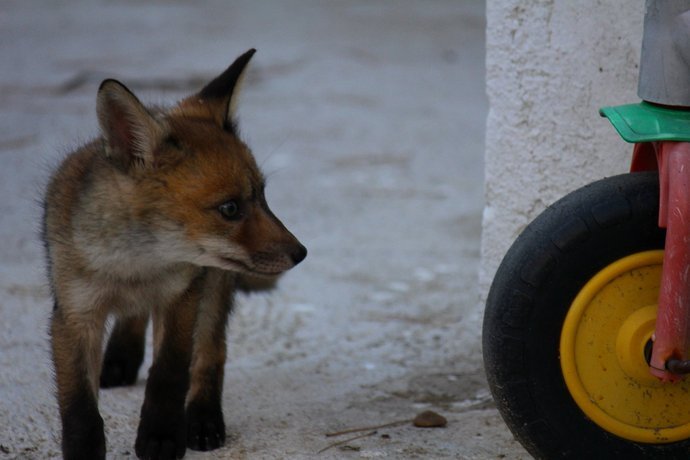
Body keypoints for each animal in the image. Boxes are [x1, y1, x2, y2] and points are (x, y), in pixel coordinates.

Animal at [42, 49, 307, 460]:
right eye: (230, 208)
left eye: (263, 196)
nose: (301, 252)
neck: (135, 267)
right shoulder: (74, 313)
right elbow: (78, 406)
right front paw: (84, 450)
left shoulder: (182, 297)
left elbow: (169, 373)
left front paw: (162, 436)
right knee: (135, 319)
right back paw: (120, 357)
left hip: (213, 288)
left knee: (212, 353)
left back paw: (203, 417)